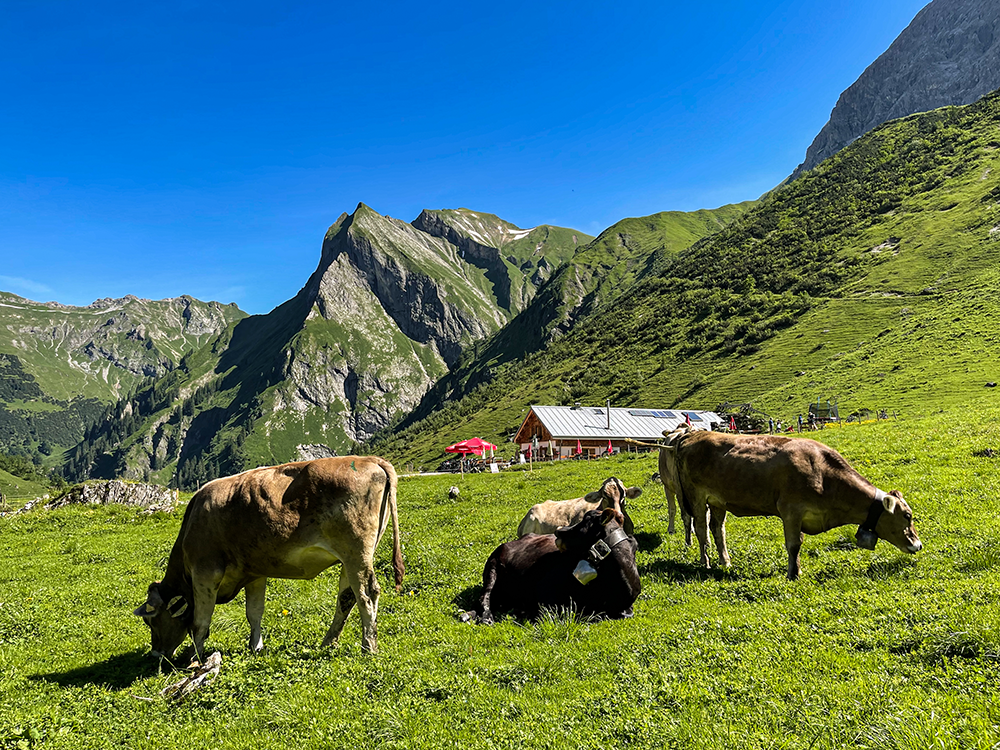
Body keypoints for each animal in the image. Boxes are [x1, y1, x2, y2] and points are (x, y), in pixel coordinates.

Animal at [135, 456, 404, 660]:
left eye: (152, 621)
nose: (156, 655)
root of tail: (371, 459)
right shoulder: (254, 572)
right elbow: (254, 612)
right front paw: (256, 647)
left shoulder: (205, 572)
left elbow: (200, 621)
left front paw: (195, 658)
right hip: (350, 558)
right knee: (346, 598)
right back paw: (329, 642)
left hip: (356, 552)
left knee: (366, 594)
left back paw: (369, 646)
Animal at [462, 508, 640, 624]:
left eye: (585, 521)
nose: (559, 530)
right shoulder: (544, 593)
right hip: (492, 568)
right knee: (484, 598)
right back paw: (484, 617)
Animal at [656, 428, 920, 580]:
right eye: (907, 516)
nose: (917, 545)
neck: (823, 473)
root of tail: (690, 435)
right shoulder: (791, 511)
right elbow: (794, 545)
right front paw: (793, 574)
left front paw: (797, 570)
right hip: (695, 497)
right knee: (700, 528)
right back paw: (706, 562)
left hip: (718, 500)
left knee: (717, 529)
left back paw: (725, 561)